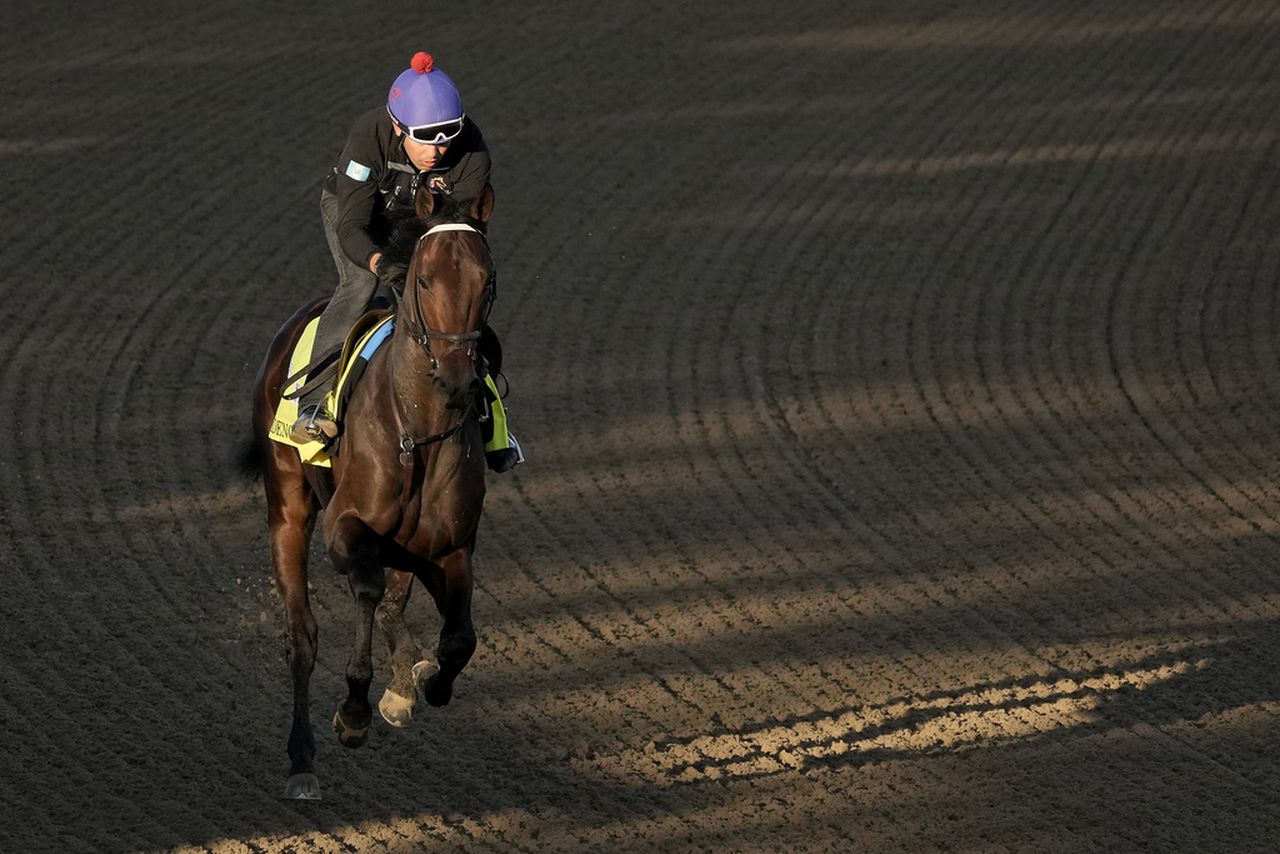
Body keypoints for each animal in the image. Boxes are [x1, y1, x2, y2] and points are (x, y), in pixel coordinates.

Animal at [238, 185, 496, 804]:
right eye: (423, 280)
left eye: (488, 280)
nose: (458, 379)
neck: (418, 431)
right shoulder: (346, 529)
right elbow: (367, 590)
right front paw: (353, 711)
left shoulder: (450, 549)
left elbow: (459, 638)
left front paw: (423, 682)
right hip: (288, 507)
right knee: (302, 635)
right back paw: (302, 761)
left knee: (396, 607)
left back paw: (407, 677)